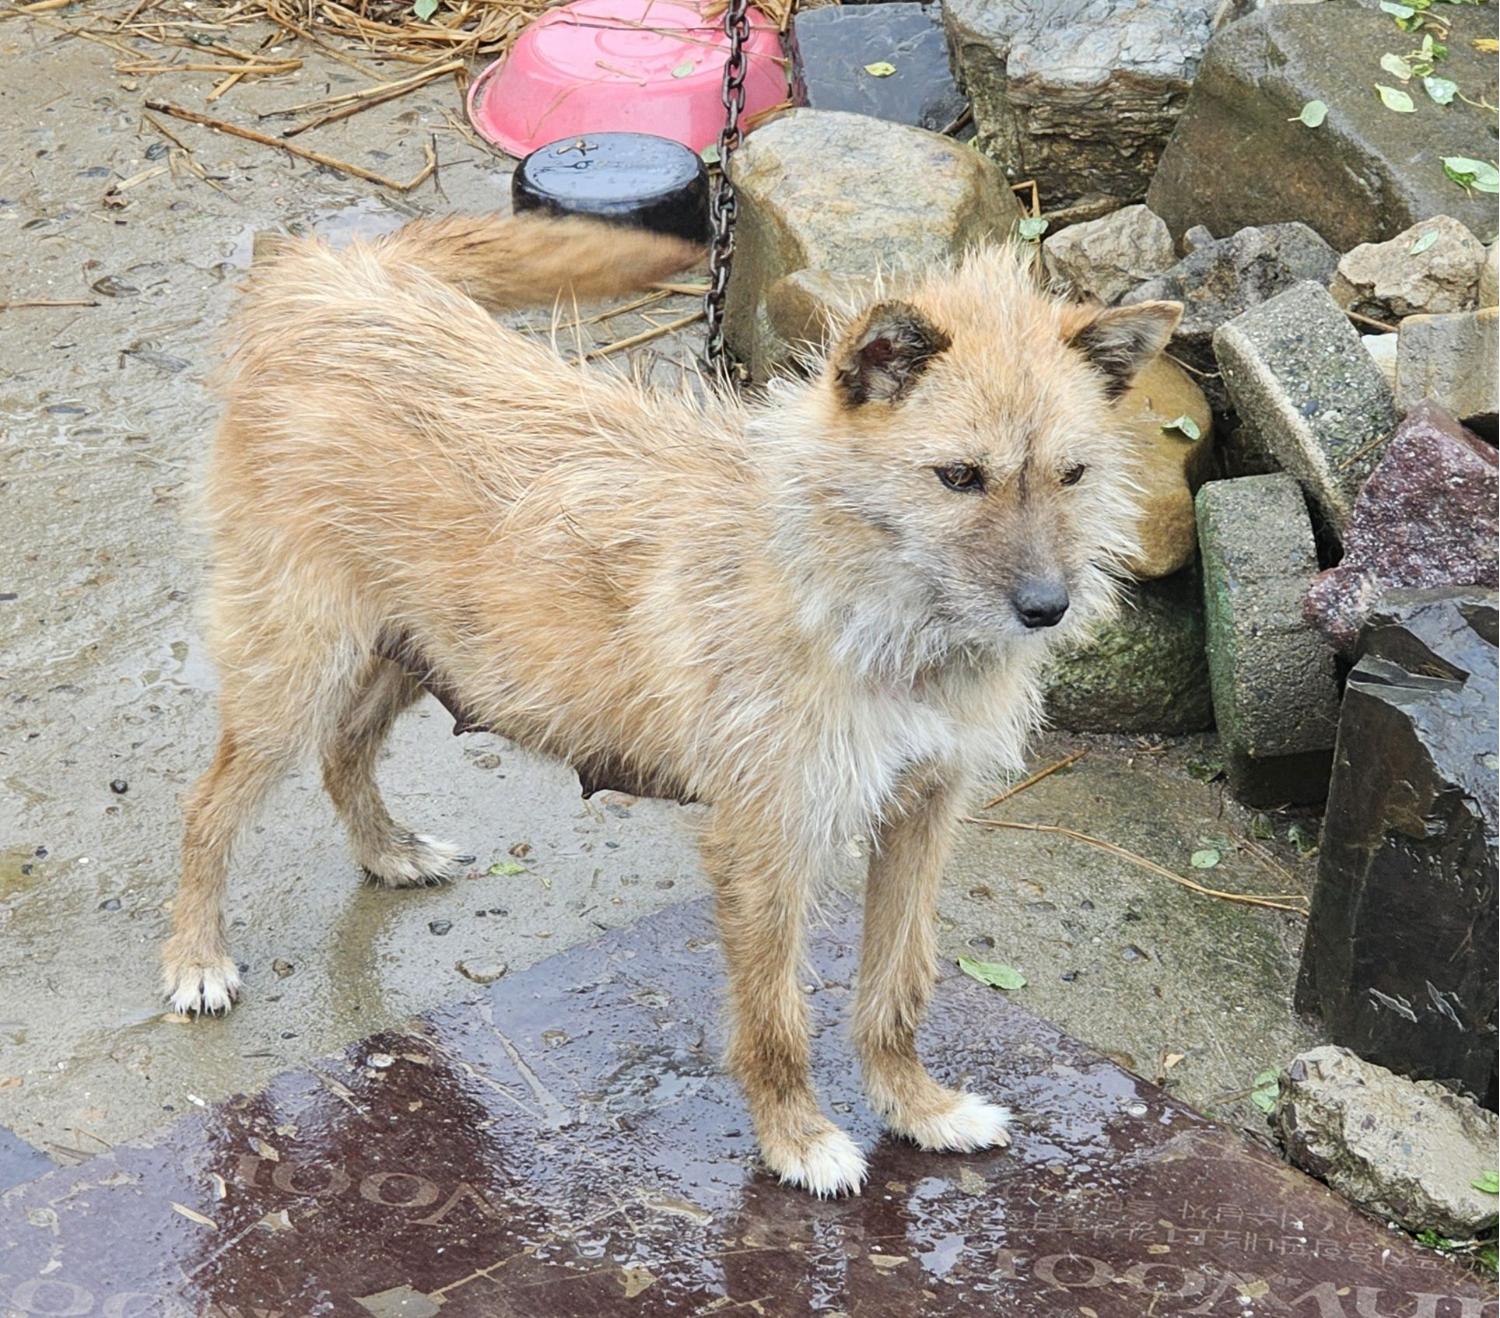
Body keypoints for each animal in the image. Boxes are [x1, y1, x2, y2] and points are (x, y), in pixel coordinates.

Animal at [158, 208, 1176, 1193]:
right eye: (960, 476)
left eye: (1073, 474)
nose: (1046, 607)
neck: (866, 606)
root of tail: (334, 280)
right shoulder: (765, 842)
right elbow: (775, 1018)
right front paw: (798, 1140)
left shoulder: (921, 815)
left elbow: (898, 986)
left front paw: (916, 1108)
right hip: (294, 670)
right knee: (207, 808)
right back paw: (197, 956)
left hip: (418, 648)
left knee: (345, 752)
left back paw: (386, 851)